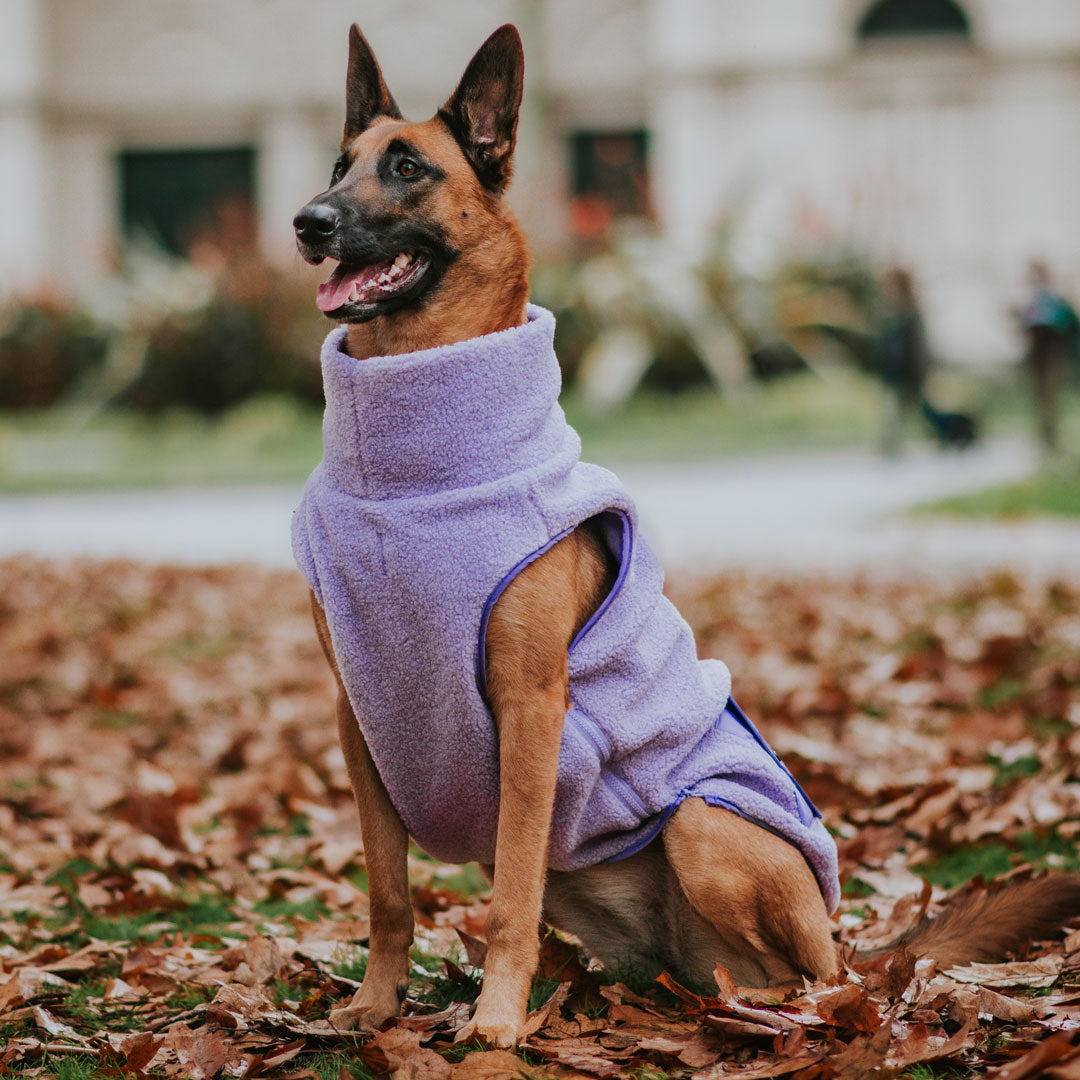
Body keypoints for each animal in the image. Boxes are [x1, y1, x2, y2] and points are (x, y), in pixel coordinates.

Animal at [289, 21, 1080, 1045]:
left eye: (409, 168)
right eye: (339, 166)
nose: (308, 221)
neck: (406, 462)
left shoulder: (530, 712)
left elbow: (507, 900)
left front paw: (495, 1021)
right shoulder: (361, 721)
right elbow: (389, 893)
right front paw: (378, 1005)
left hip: (709, 829)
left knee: (812, 981)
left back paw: (759, 1014)